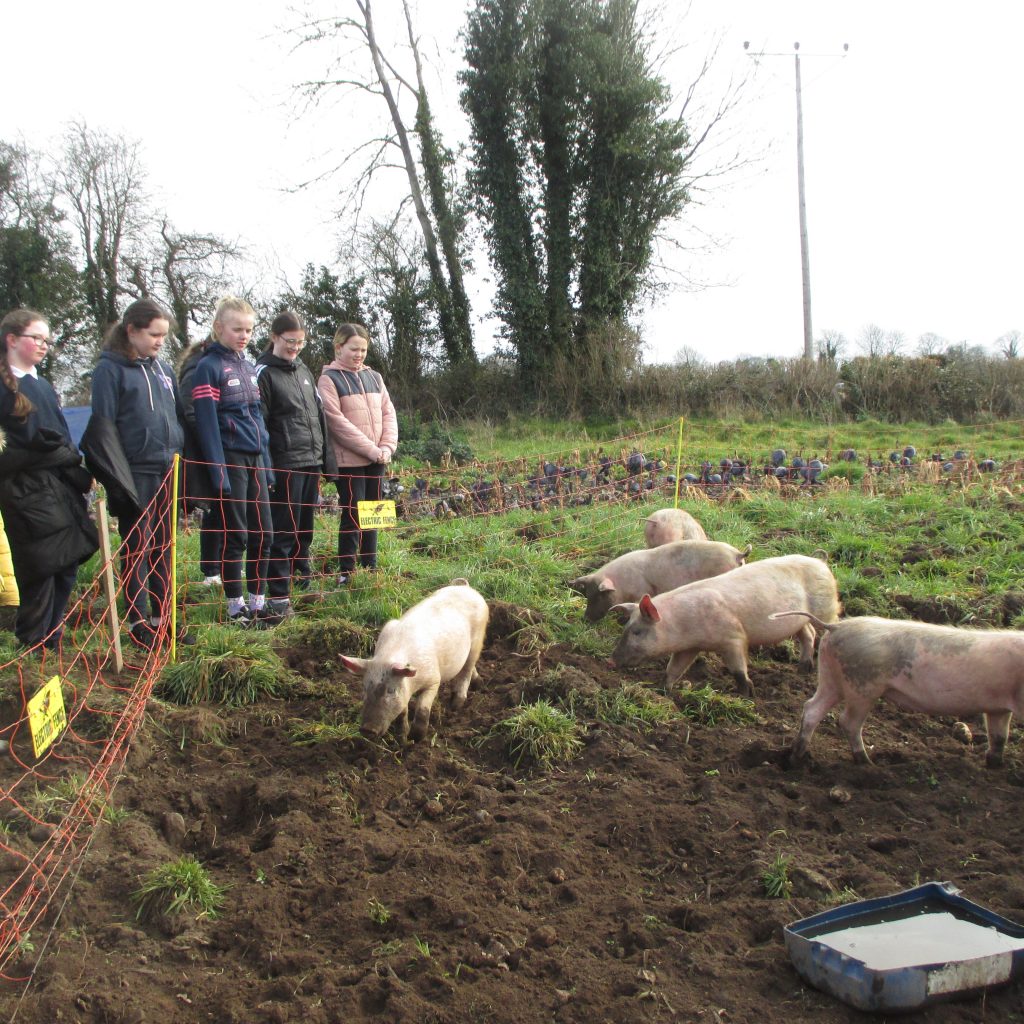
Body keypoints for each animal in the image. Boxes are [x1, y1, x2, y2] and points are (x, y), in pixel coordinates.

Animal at [339, 581, 491, 741]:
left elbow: (423, 708)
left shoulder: (434, 680)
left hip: (477, 639)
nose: (367, 730)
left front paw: (416, 738)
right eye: (364, 688)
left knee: (467, 670)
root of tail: (466, 587)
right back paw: (479, 685)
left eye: (391, 690)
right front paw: (403, 738)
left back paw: (456, 705)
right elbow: (402, 713)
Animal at [569, 536, 753, 622]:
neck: (621, 584)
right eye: (587, 595)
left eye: (600, 595)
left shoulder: (641, 592)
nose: (585, 618)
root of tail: (738, 554)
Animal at [610, 552, 835, 696]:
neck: (684, 623)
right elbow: (674, 668)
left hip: (827, 608)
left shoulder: (734, 637)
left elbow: (738, 669)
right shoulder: (689, 647)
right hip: (799, 619)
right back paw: (803, 669)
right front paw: (663, 691)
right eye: (625, 628)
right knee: (808, 633)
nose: (611, 660)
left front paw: (747, 694)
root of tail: (820, 561)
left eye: (637, 631)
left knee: (824, 629)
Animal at [774, 606, 1024, 770]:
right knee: (848, 722)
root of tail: (836, 626)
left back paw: (795, 759)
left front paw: (994, 765)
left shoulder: (998, 708)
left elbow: (999, 736)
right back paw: (868, 764)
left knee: (812, 709)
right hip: (863, 686)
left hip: (831, 677)